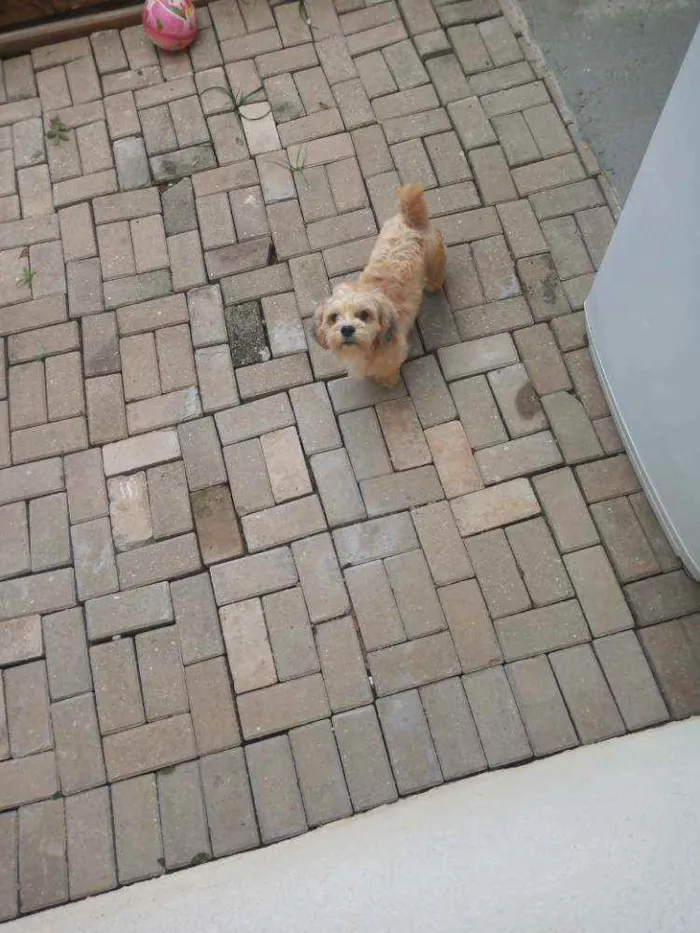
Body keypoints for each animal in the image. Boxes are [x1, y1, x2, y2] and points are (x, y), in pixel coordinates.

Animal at [314, 184, 446, 386]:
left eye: (364, 315)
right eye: (333, 317)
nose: (347, 329)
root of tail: (411, 221)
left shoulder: (393, 355)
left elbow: (388, 371)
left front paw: (387, 381)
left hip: (434, 258)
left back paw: (434, 285)